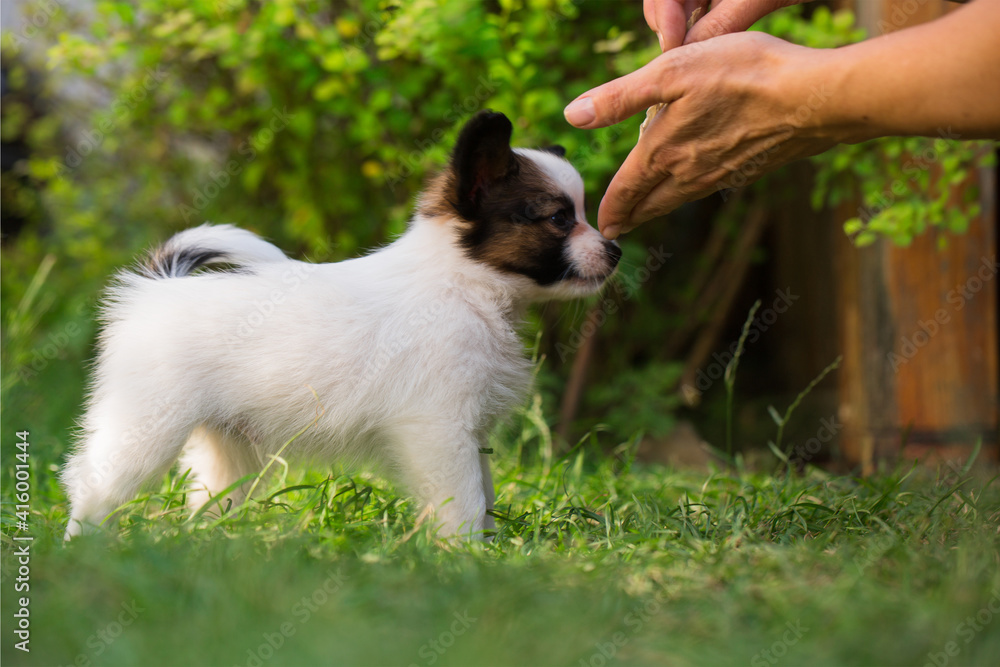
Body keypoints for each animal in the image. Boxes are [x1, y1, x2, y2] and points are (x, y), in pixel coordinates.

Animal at [62, 109, 620, 536]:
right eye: (558, 219)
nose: (615, 250)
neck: (463, 284)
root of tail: (160, 286)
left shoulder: (467, 430)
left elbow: (483, 493)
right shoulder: (437, 429)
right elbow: (462, 501)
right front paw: (466, 555)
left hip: (229, 449)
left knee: (211, 499)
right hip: (145, 424)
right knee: (95, 483)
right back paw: (82, 547)